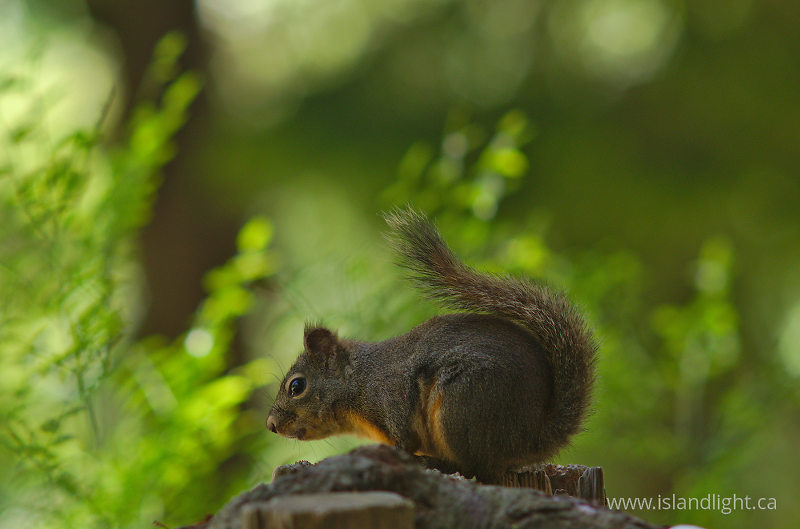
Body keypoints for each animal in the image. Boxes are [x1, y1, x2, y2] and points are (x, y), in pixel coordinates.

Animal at [266, 208, 597, 484]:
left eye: (296, 386)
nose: (271, 424)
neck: (359, 380)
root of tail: (534, 435)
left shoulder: (392, 395)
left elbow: (405, 441)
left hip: (460, 406)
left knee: (478, 467)